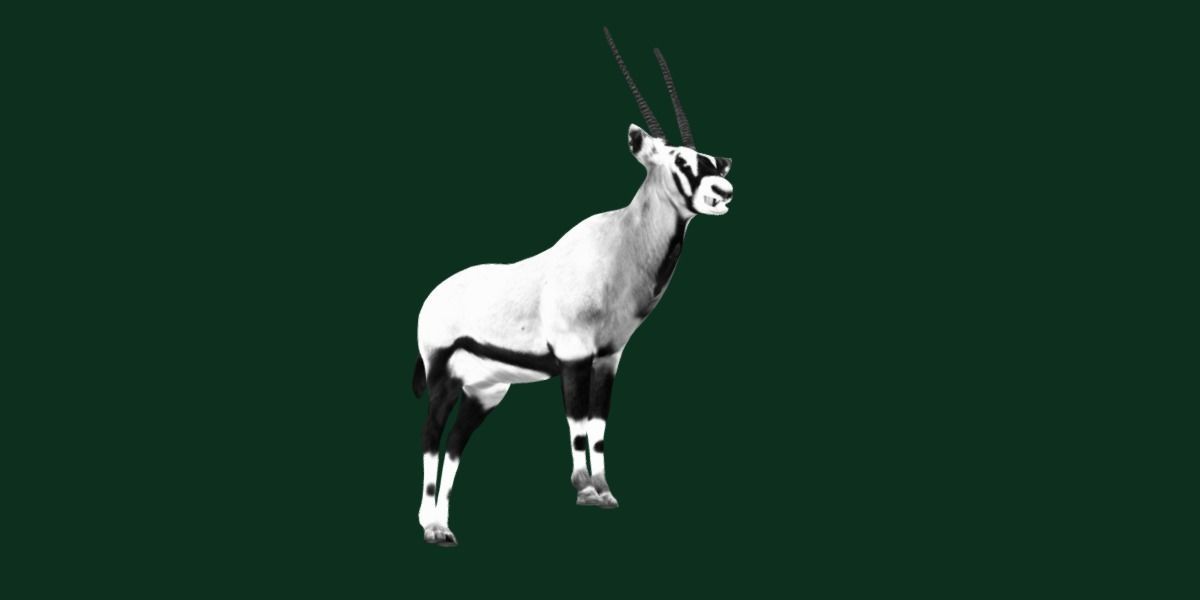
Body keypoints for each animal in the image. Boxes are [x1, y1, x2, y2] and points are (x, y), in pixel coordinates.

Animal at [412, 28, 734, 547]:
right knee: (430, 435)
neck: (619, 247)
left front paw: (604, 490)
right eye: (680, 161)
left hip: (485, 391)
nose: (723, 192)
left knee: (456, 444)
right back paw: (429, 525)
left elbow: (598, 428)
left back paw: (442, 525)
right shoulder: (573, 357)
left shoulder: (607, 359)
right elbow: (578, 424)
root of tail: (432, 297)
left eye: (710, 161)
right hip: (443, 376)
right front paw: (584, 490)